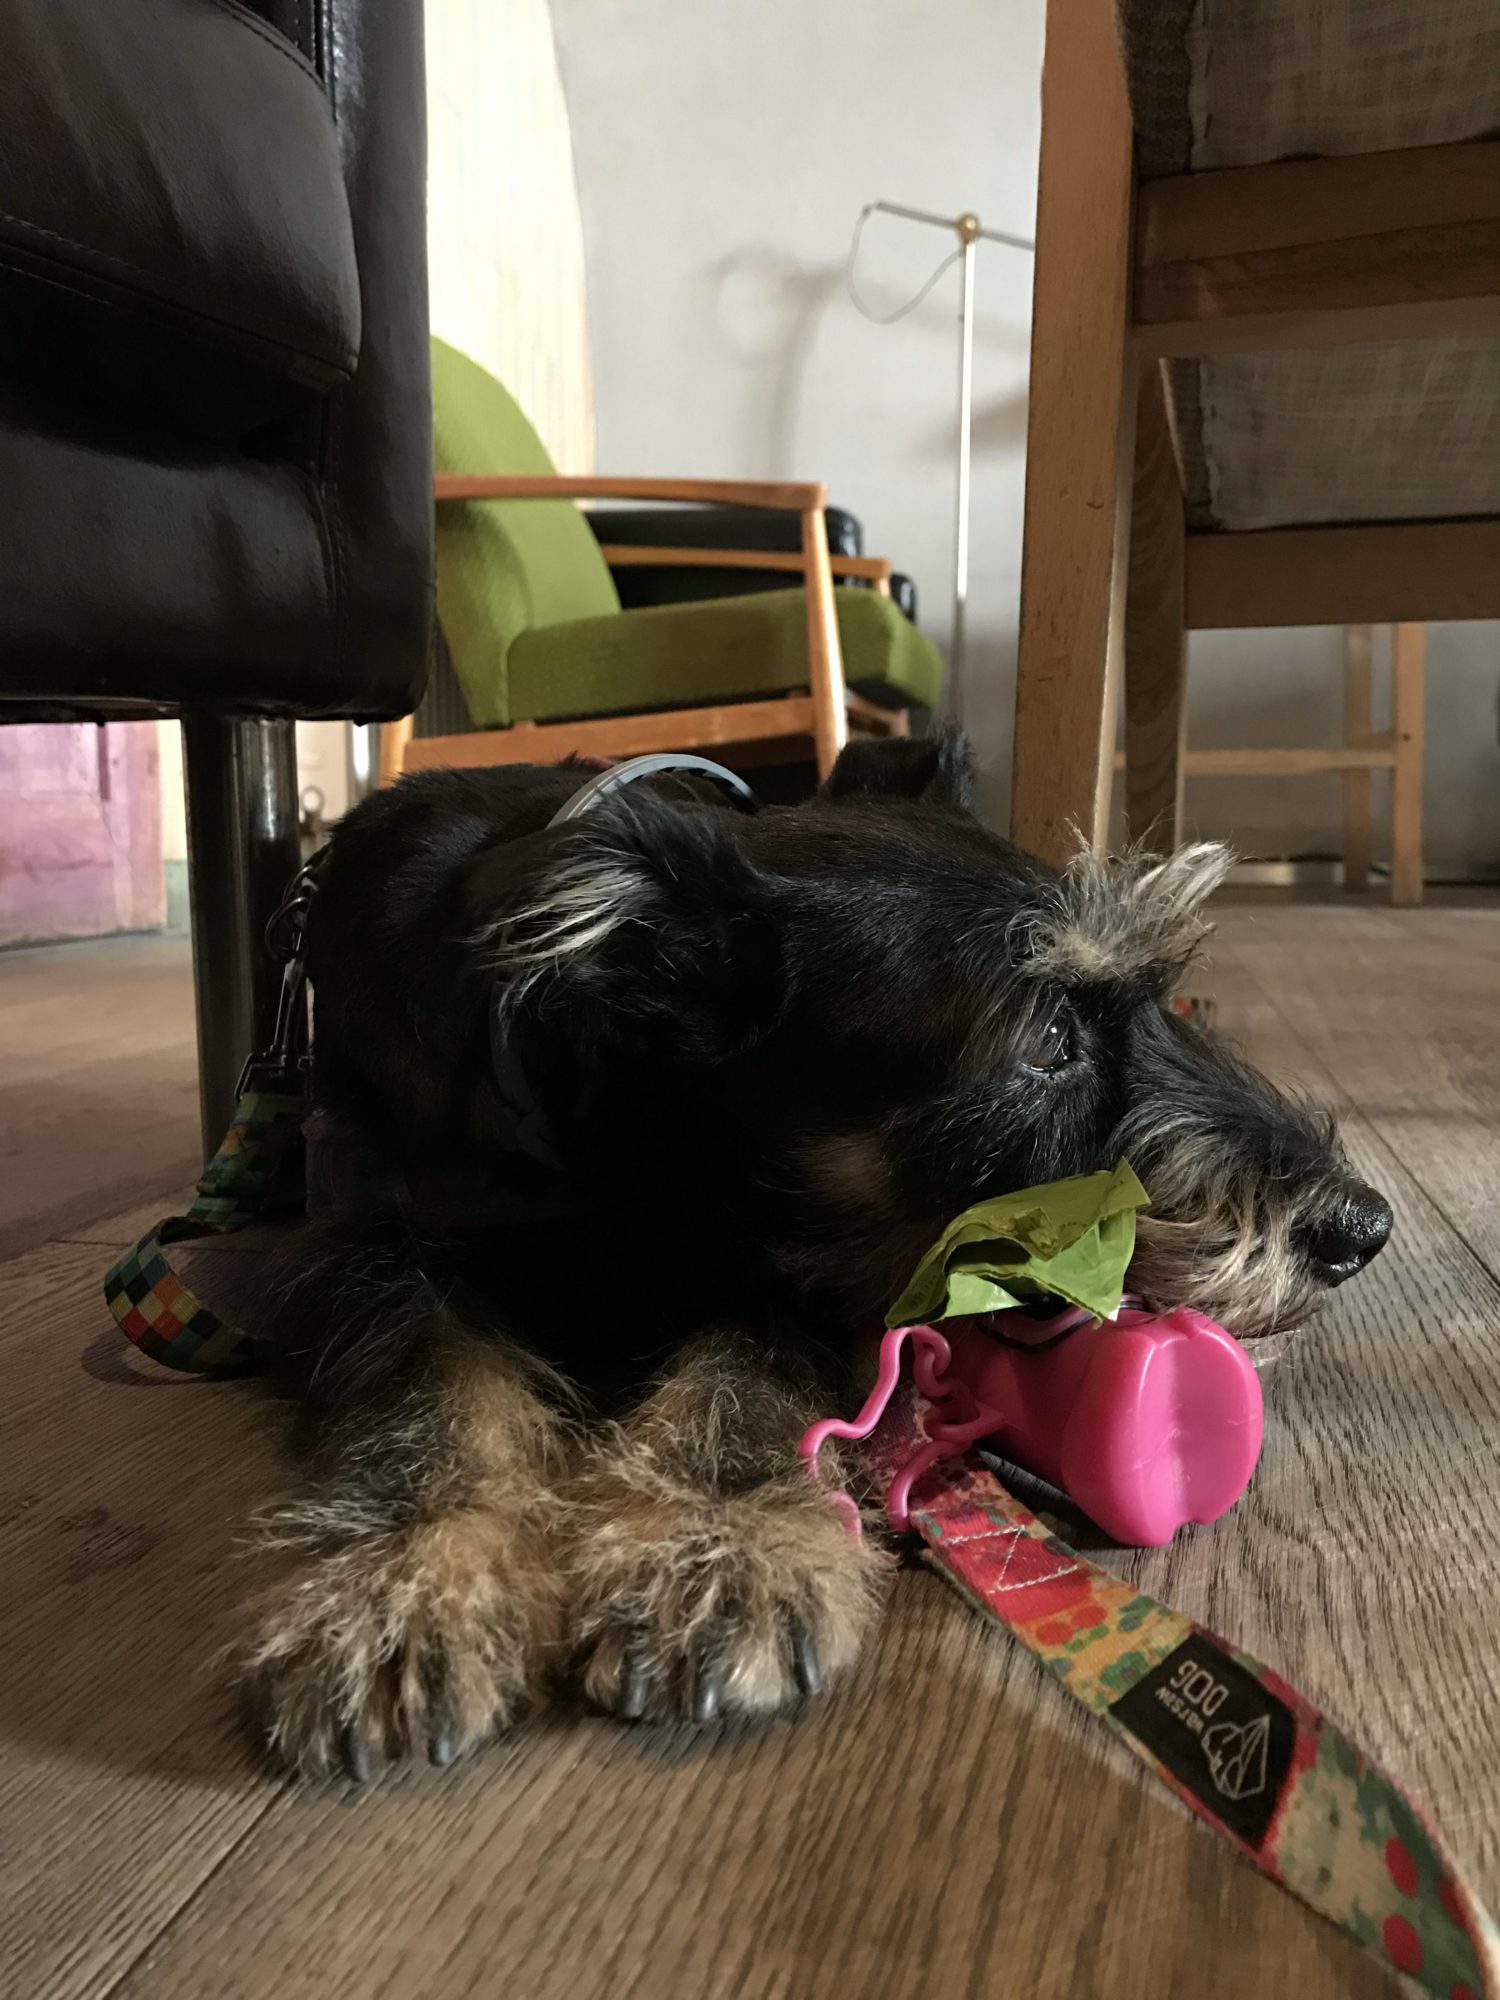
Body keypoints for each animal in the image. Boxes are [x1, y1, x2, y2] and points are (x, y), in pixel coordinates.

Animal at [243, 730, 1391, 1778]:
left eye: (1158, 999)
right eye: (1048, 1040)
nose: (1362, 1225)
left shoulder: (798, 1271)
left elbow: (744, 1374)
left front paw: (723, 1538)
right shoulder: (363, 1253)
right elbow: (421, 1388)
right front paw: (403, 1584)